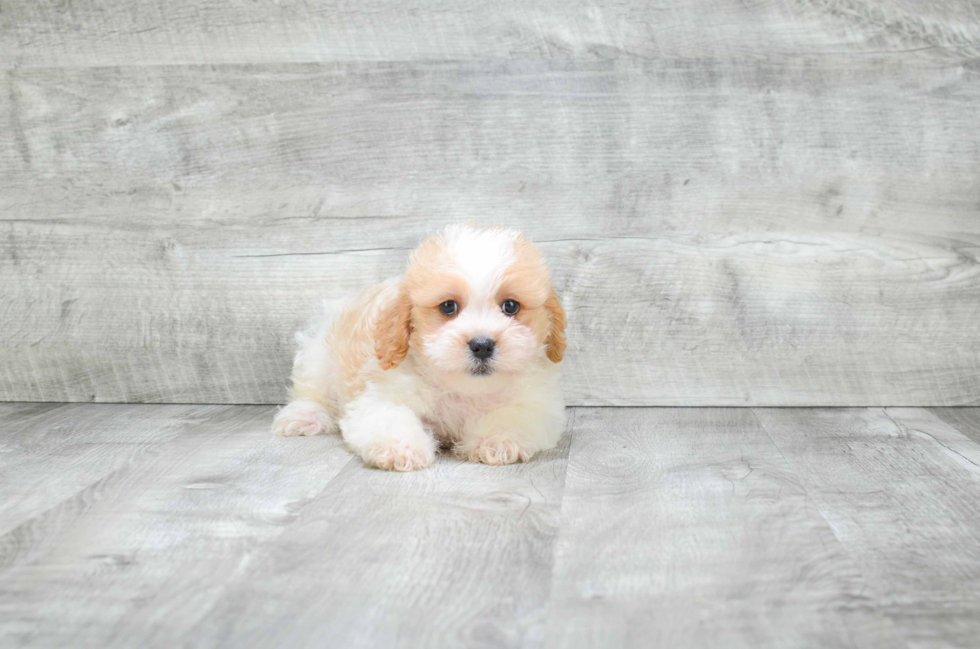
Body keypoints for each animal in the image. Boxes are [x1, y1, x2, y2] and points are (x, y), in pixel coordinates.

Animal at [274, 223, 568, 470]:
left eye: (510, 306)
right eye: (448, 306)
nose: (482, 345)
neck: (461, 390)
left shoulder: (534, 403)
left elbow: (512, 416)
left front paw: (496, 440)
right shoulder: (380, 394)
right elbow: (391, 417)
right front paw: (400, 448)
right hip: (317, 356)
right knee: (311, 392)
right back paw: (304, 416)